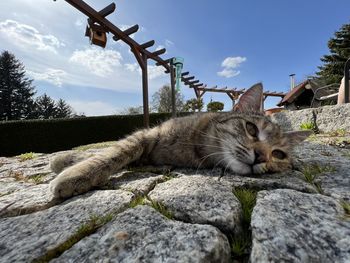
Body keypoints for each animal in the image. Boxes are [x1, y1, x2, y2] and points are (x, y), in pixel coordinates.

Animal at [49, 83, 312, 199]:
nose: (260, 157)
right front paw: (75, 170)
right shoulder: (146, 135)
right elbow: (113, 152)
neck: (196, 146)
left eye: (278, 154)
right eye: (251, 129)